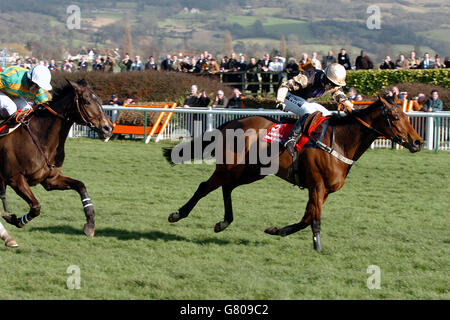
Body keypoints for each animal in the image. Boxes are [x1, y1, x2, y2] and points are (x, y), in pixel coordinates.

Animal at [0, 78, 112, 238]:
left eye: (100, 100)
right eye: (87, 101)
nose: (108, 128)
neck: (41, 137)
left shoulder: (50, 179)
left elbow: (81, 186)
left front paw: (90, 224)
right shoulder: (15, 179)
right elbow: (36, 207)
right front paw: (16, 220)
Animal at [163, 95, 424, 252]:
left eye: (407, 116)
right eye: (395, 117)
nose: (418, 142)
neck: (339, 142)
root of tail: (232, 123)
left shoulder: (324, 190)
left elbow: (307, 217)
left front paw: (277, 230)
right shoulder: (317, 185)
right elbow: (315, 219)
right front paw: (318, 247)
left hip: (251, 171)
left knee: (226, 188)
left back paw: (223, 222)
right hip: (229, 167)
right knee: (204, 186)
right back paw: (178, 214)